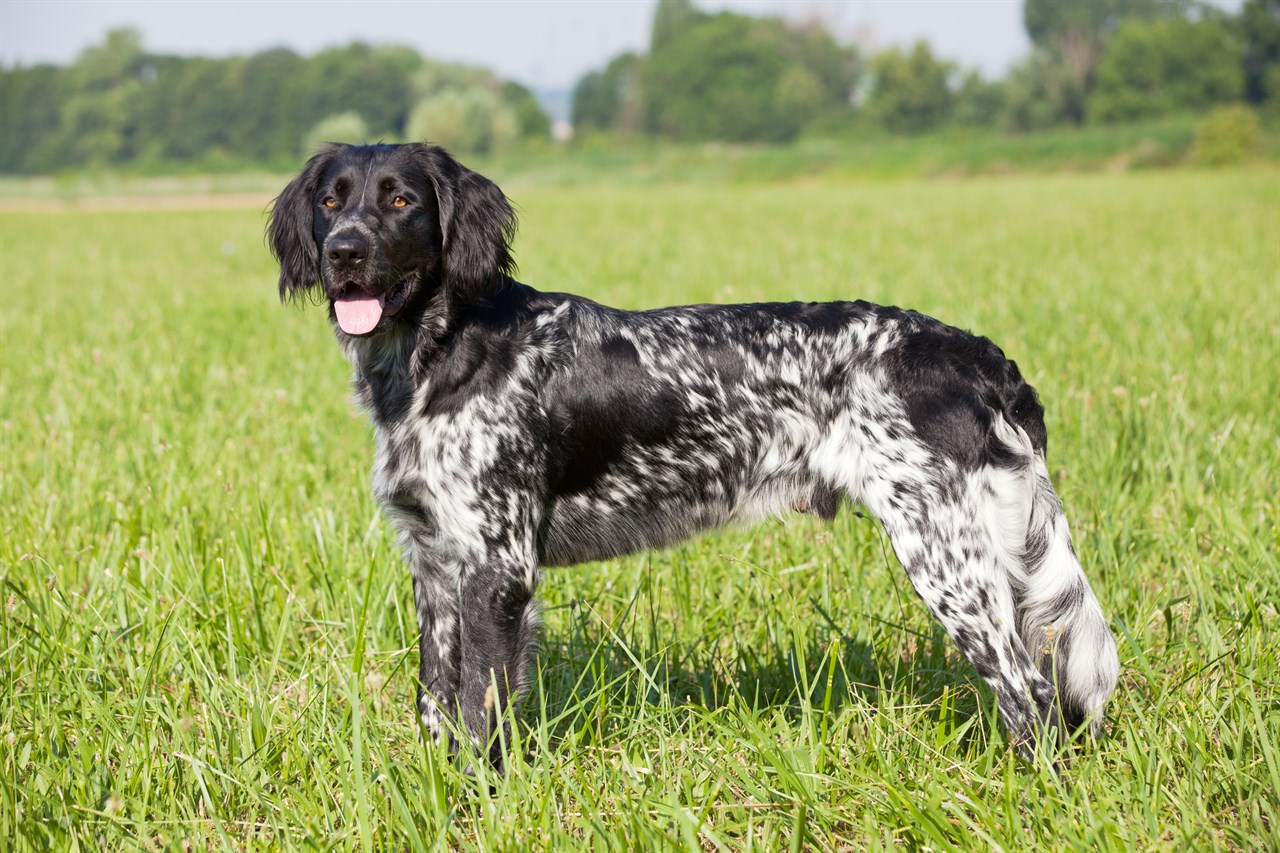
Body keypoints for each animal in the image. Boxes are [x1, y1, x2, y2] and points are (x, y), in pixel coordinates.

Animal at [270, 142, 1121, 768]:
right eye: (331, 200)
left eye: (401, 201)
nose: (344, 252)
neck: (444, 351)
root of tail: (979, 356)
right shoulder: (435, 563)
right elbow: (437, 702)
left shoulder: (496, 566)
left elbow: (482, 712)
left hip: (946, 556)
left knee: (1032, 696)